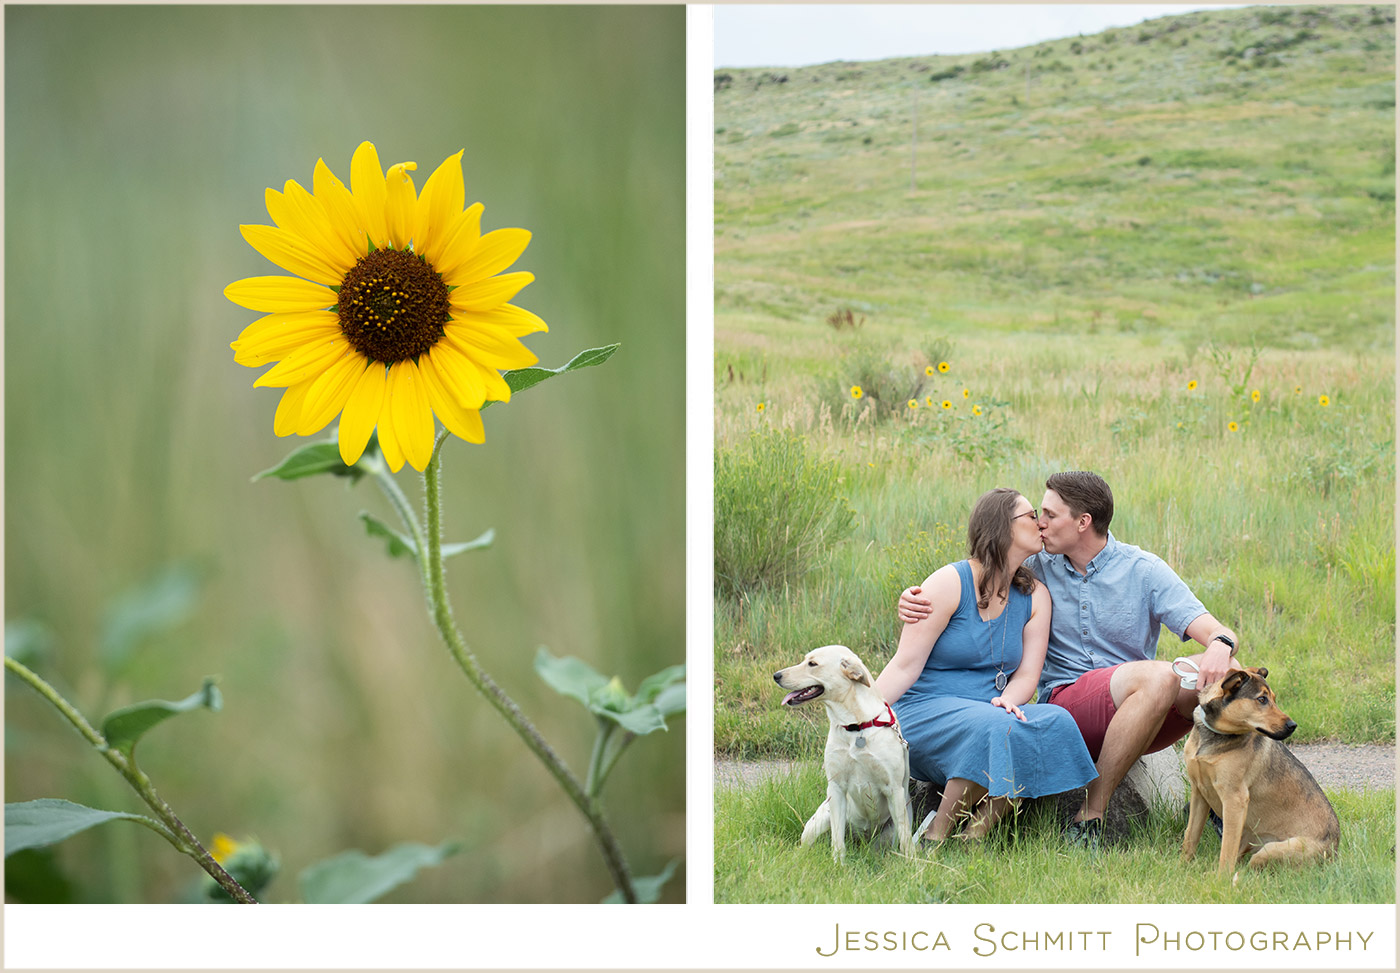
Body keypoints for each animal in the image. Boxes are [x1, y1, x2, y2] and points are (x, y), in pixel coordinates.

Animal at [772, 646, 912, 862]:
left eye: (812, 664)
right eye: (805, 660)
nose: (776, 675)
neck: (856, 727)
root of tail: (862, 840)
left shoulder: (894, 789)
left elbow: (906, 839)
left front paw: (913, 864)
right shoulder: (836, 788)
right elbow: (837, 840)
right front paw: (839, 864)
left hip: (890, 829)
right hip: (818, 821)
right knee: (805, 846)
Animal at [1181, 669, 1344, 873]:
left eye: (1273, 698)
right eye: (1262, 699)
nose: (1293, 725)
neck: (1214, 736)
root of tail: (1334, 853)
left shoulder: (1235, 799)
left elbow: (1226, 851)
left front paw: (1221, 879)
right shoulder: (1199, 793)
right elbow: (1190, 837)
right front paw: (1181, 867)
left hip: (1269, 851)